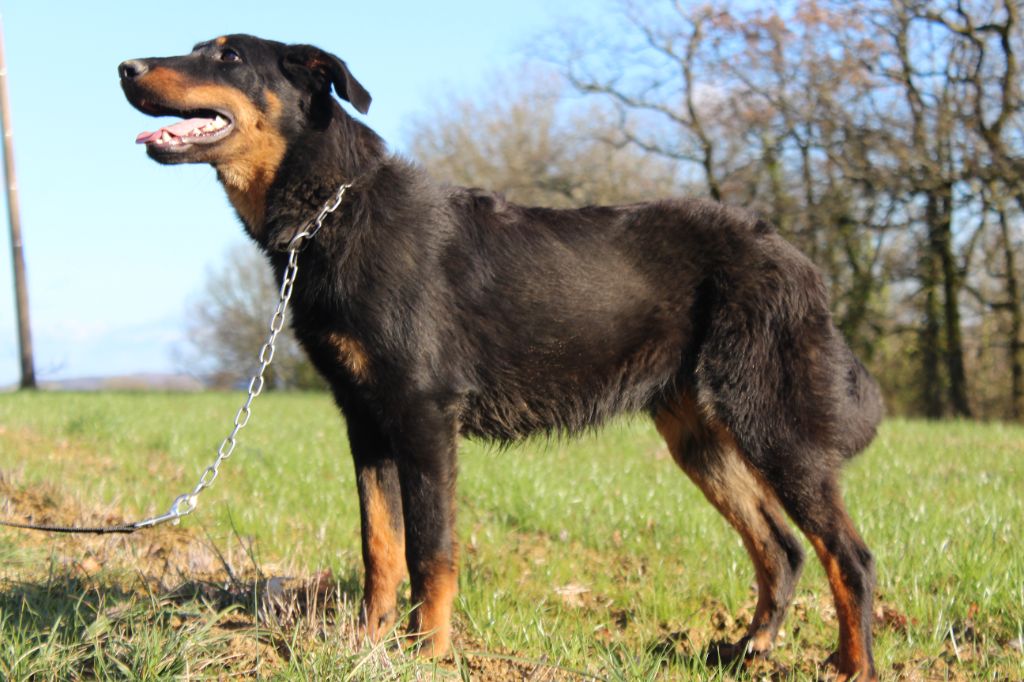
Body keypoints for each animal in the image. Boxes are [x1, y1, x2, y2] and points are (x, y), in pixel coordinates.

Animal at [119, 35, 884, 675]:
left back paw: (850, 665)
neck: (332, 209)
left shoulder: (424, 417)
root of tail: (800, 263)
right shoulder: (365, 420)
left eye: (227, 56)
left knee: (848, 555)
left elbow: (430, 550)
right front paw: (366, 643)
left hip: (774, 427)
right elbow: (380, 547)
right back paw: (750, 648)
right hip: (701, 437)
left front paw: (428, 652)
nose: (125, 68)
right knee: (782, 547)